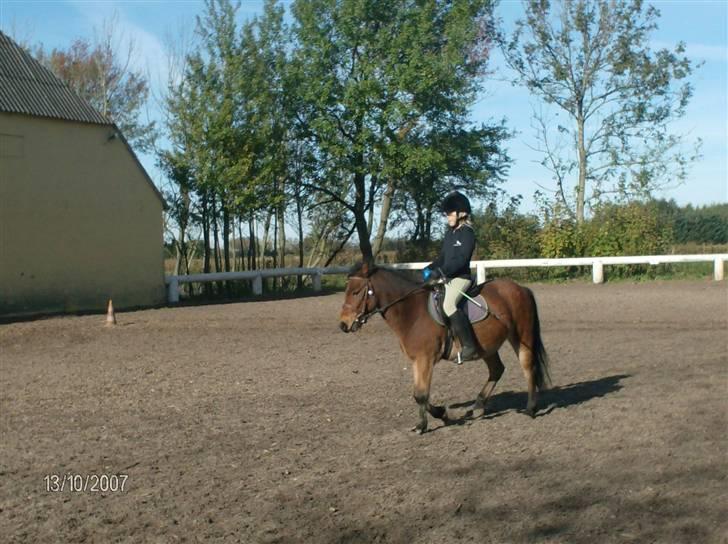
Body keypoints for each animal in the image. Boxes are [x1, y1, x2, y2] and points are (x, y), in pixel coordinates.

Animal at [338, 260, 548, 434]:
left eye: (356, 292)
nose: (343, 325)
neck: (412, 313)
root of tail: (521, 288)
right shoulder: (417, 360)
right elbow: (418, 394)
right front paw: (439, 414)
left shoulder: (426, 359)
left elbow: (421, 395)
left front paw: (424, 425)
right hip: (487, 346)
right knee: (497, 370)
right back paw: (477, 408)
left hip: (521, 336)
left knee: (528, 367)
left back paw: (530, 409)